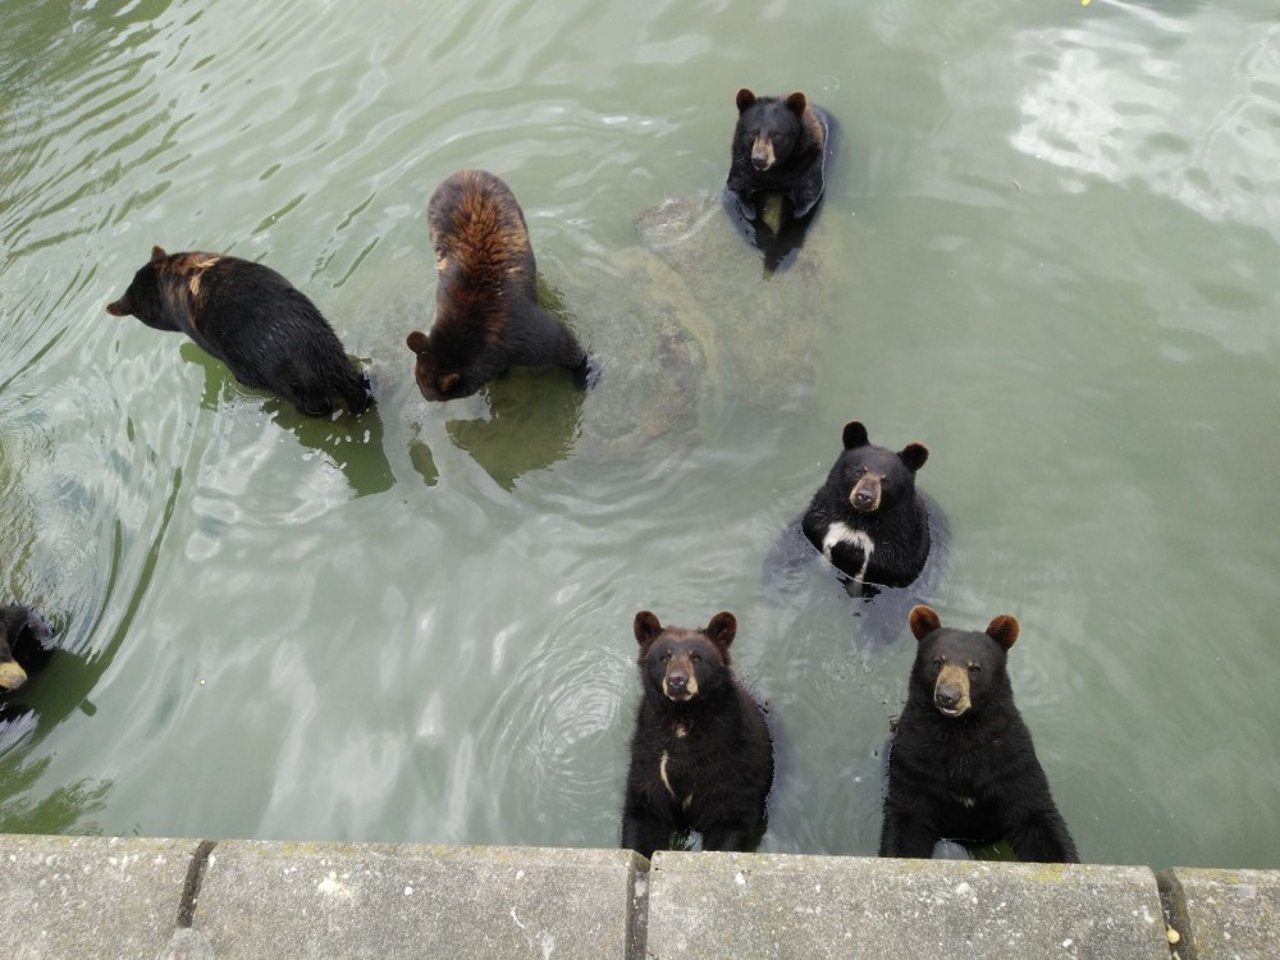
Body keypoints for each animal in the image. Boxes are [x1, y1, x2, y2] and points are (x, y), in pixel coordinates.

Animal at [401, 168, 591, 401]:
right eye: (419, 382)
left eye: (425, 390)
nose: (424, 396)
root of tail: (463, 171)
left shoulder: (520, 334)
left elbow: (564, 344)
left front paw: (583, 375)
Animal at [616, 611, 768, 860]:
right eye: (663, 657)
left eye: (697, 657)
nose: (677, 680)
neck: (682, 718)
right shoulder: (648, 757)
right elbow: (643, 814)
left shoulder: (733, 762)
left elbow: (730, 818)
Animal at [880, 609, 1080, 865]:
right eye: (937, 662)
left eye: (974, 668)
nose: (948, 696)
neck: (960, 731)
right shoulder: (914, 758)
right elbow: (907, 817)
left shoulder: (1010, 759)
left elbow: (1035, 815)